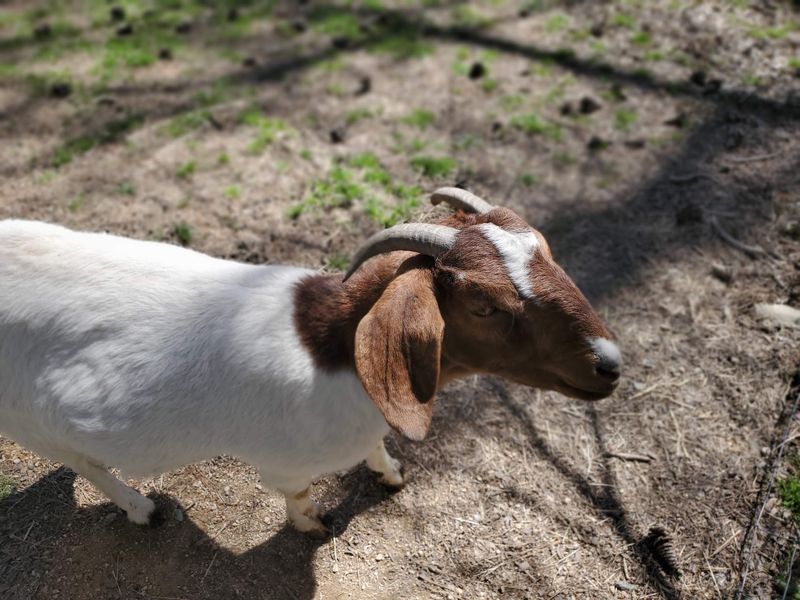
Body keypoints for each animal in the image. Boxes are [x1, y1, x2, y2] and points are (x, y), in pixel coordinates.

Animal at [0, 188, 620, 535]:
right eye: (485, 305)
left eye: (548, 251)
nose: (608, 363)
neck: (335, 351)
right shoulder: (283, 464)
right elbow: (297, 496)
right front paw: (315, 526)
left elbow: (377, 448)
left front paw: (390, 474)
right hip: (29, 425)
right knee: (84, 463)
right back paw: (142, 509)